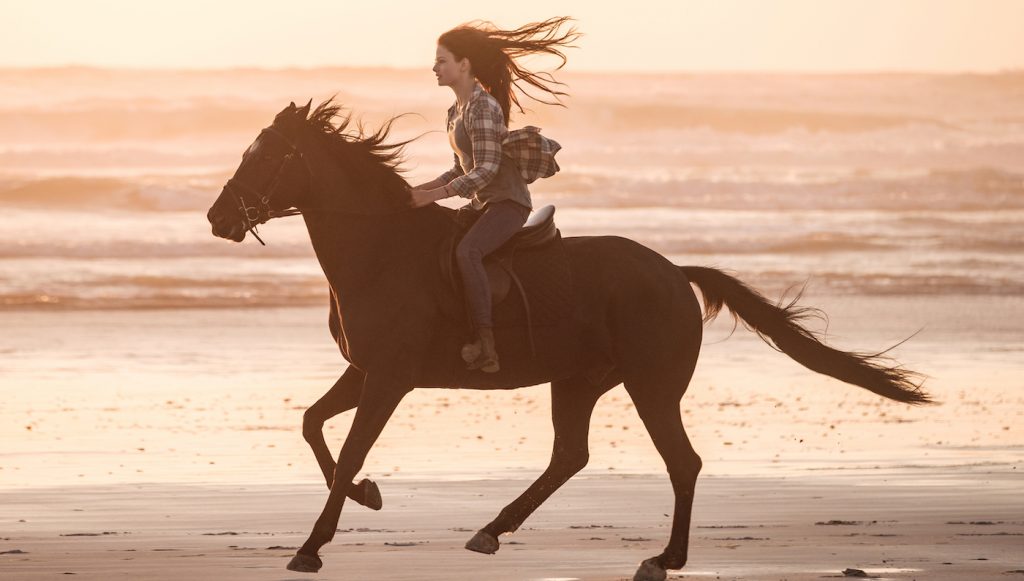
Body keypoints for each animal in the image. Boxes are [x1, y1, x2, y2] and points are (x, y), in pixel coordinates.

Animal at [207, 100, 929, 581]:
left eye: (263, 155)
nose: (217, 218)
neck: (381, 250)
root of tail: (674, 271)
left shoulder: (390, 378)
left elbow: (348, 450)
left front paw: (311, 545)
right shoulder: (365, 371)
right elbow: (313, 426)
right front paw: (367, 495)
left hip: (651, 384)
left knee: (681, 461)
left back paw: (663, 558)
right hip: (579, 380)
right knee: (570, 455)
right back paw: (492, 530)